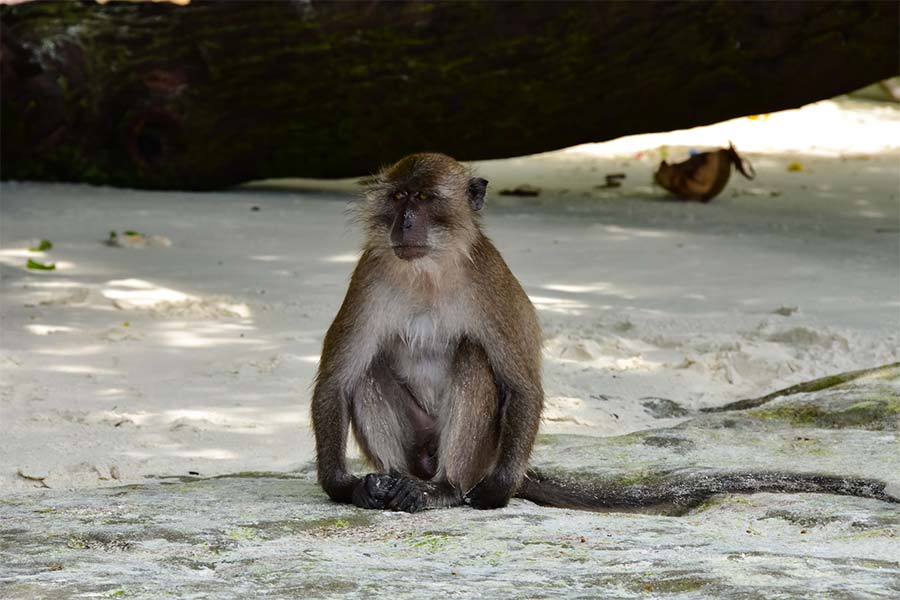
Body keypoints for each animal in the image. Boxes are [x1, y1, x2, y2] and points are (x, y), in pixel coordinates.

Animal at [312, 152, 900, 512]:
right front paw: (344, 484)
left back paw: (444, 489)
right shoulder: (373, 272)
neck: (429, 271)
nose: (404, 225)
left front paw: (494, 494)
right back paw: (391, 481)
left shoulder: (487, 283)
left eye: (426, 200)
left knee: (472, 359)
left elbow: (522, 384)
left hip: (485, 450)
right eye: (398, 200)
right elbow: (337, 380)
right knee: (369, 373)